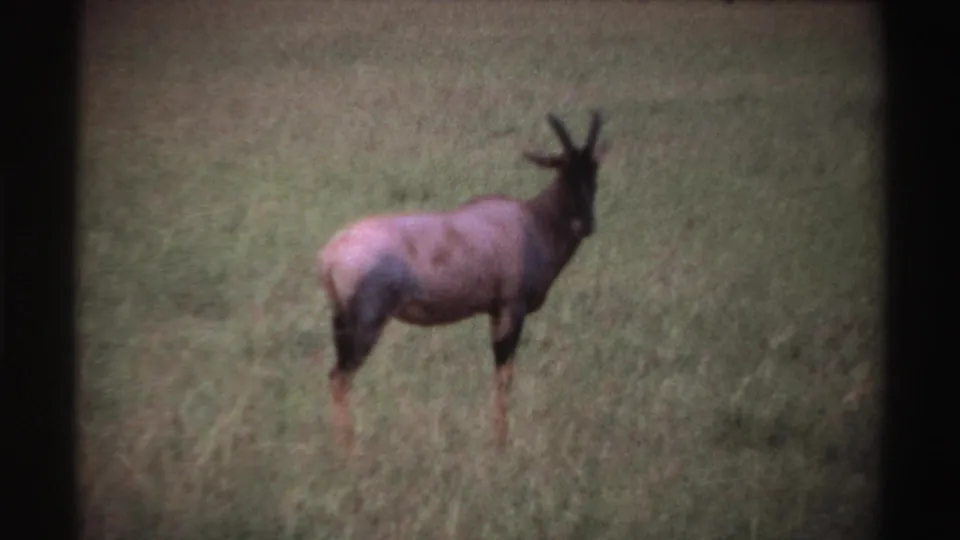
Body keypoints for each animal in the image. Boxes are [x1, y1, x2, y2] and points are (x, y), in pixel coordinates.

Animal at [318, 111, 609, 451]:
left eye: (593, 171)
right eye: (563, 170)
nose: (586, 224)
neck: (530, 220)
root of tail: (330, 255)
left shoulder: (494, 311)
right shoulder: (512, 308)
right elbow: (504, 375)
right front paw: (501, 444)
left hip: (341, 322)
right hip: (367, 324)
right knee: (340, 378)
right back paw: (350, 452)